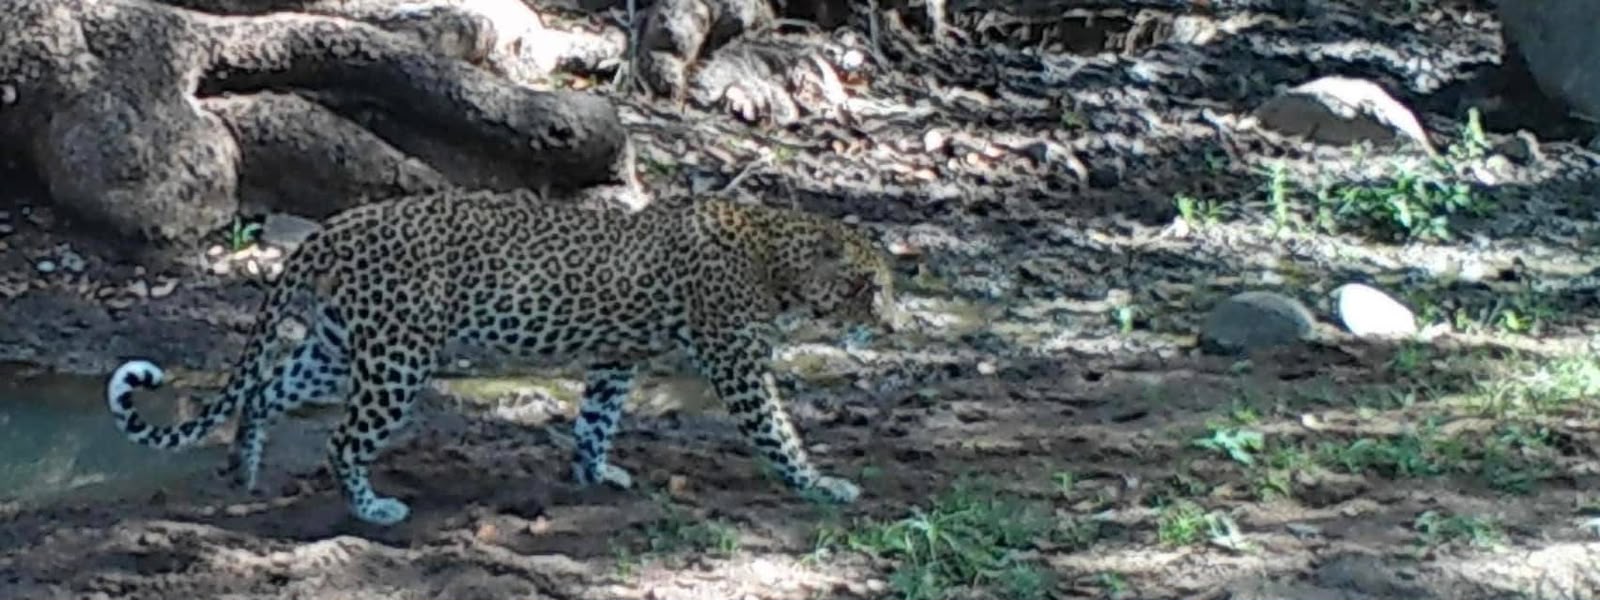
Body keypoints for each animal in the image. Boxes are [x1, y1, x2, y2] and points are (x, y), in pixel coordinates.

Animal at [105, 188, 897, 526]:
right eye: (873, 285)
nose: (894, 321)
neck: (777, 258)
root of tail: (331, 227)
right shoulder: (736, 365)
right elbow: (780, 432)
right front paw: (822, 485)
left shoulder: (617, 357)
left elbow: (597, 419)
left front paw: (594, 474)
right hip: (398, 359)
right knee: (342, 439)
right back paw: (373, 508)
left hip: (338, 348)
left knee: (265, 390)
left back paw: (243, 470)